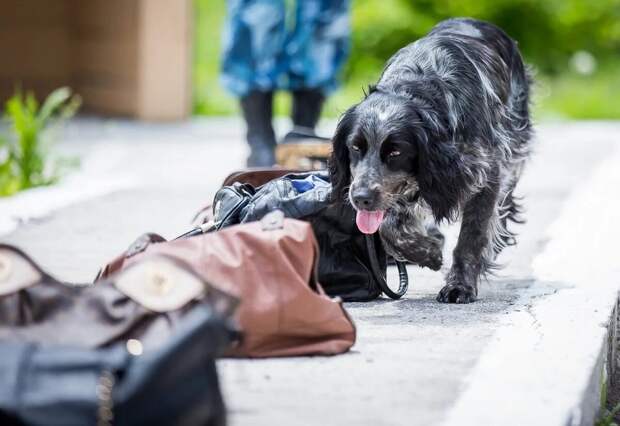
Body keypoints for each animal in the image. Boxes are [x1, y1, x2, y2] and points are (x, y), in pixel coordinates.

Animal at [330, 17, 532, 302]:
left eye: (395, 153)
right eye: (355, 147)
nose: (360, 198)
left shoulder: (487, 170)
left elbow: (472, 235)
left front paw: (460, 285)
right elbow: (388, 229)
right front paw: (429, 251)